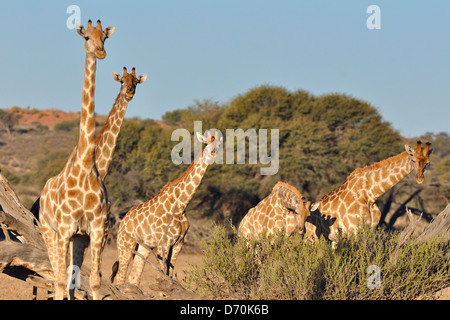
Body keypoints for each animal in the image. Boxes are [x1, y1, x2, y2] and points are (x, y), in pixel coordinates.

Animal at [38, 20, 114, 300]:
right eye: (86, 37)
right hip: (49, 231)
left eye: (105, 37)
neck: (85, 165)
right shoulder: (64, 228)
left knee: (71, 278)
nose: (101, 52)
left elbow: (93, 282)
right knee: (57, 276)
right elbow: (60, 280)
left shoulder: (95, 229)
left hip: (77, 239)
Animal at [109, 131, 221, 286]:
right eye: (205, 143)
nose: (214, 154)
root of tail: (122, 221)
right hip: (125, 244)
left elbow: (170, 275)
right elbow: (163, 276)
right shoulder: (164, 243)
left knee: (134, 275)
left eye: (219, 144)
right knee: (120, 276)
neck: (181, 205)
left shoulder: (178, 243)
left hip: (144, 246)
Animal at [304, 141, 434, 244]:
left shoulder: (372, 228)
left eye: (427, 162)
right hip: (311, 236)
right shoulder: (354, 229)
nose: (420, 178)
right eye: (413, 160)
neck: (370, 194)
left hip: (330, 238)